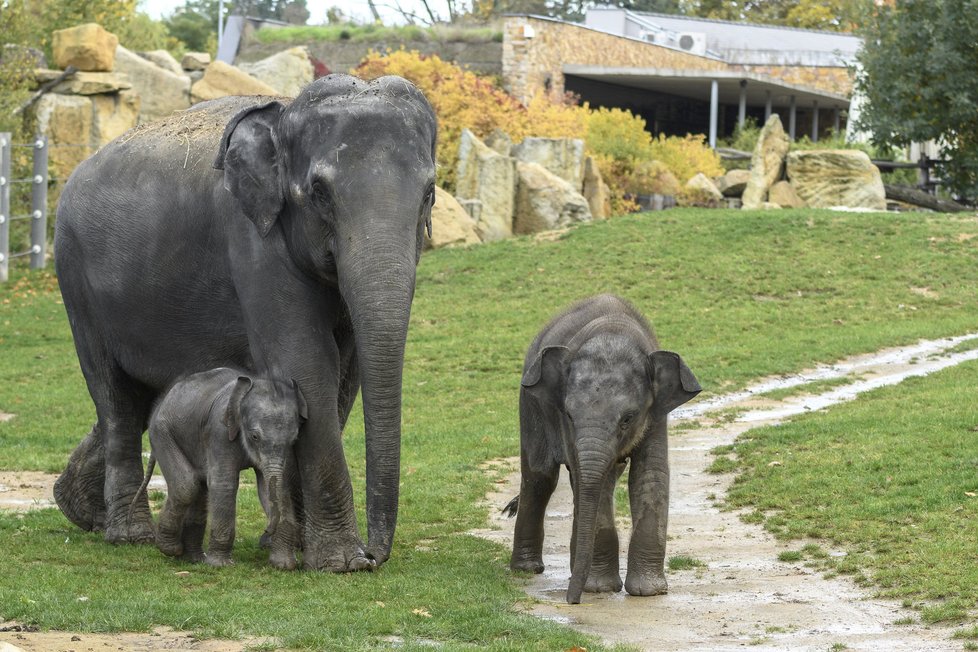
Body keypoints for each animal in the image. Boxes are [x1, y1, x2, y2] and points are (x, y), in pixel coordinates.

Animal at [135, 370, 306, 568]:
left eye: (294, 439)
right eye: (254, 436)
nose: (266, 530)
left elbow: (273, 486)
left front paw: (284, 565)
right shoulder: (219, 430)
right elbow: (225, 483)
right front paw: (221, 565)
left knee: (199, 487)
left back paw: (194, 559)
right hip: (162, 434)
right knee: (186, 485)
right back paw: (171, 548)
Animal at [508, 292, 696, 604]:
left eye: (628, 418)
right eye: (570, 415)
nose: (572, 601)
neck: (614, 332)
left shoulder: (656, 415)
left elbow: (650, 475)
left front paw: (649, 592)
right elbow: (591, 480)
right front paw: (600, 588)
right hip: (529, 401)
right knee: (540, 478)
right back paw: (529, 569)